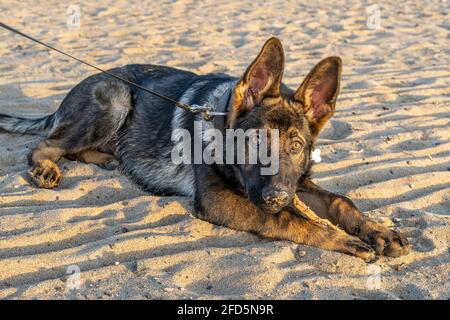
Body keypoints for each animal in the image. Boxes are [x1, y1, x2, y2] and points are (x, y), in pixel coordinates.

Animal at [0, 38, 408, 262]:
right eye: (254, 141)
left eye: (296, 146)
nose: (276, 197)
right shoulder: (220, 200)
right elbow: (288, 221)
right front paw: (340, 238)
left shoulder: (296, 184)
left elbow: (340, 201)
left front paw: (377, 230)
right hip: (115, 98)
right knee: (47, 143)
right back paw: (48, 167)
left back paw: (105, 157)